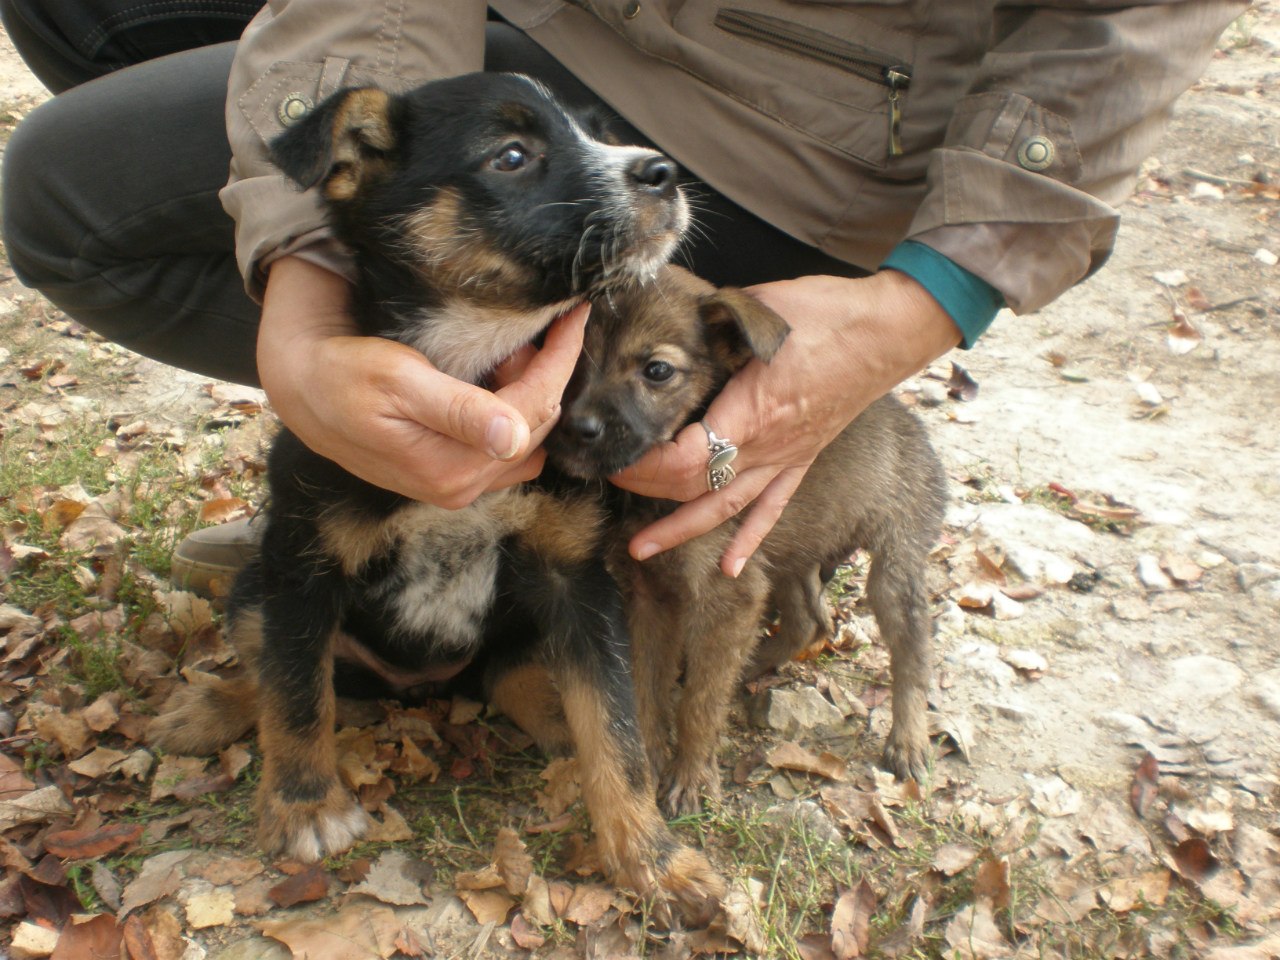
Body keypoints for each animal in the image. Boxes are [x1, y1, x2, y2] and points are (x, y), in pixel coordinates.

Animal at [151, 74, 723, 917]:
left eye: (599, 130)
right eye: (511, 155)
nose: (664, 173)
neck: (473, 368)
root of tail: (418, 689)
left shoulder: (575, 578)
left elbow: (615, 724)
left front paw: (654, 858)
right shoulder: (304, 563)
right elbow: (295, 690)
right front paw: (305, 807)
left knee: (510, 676)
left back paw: (552, 712)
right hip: (258, 589)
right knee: (285, 671)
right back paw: (210, 709)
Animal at [544, 266, 947, 815]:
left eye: (656, 371)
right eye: (572, 360)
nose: (575, 427)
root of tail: (914, 427)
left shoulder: (727, 594)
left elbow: (699, 703)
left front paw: (691, 777)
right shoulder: (650, 592)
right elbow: (646, 682)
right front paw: (649, 757)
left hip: (894, 562)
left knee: (912, 650)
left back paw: (908, 738)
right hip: (786, 552)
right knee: (810, 619)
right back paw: (754, 663)